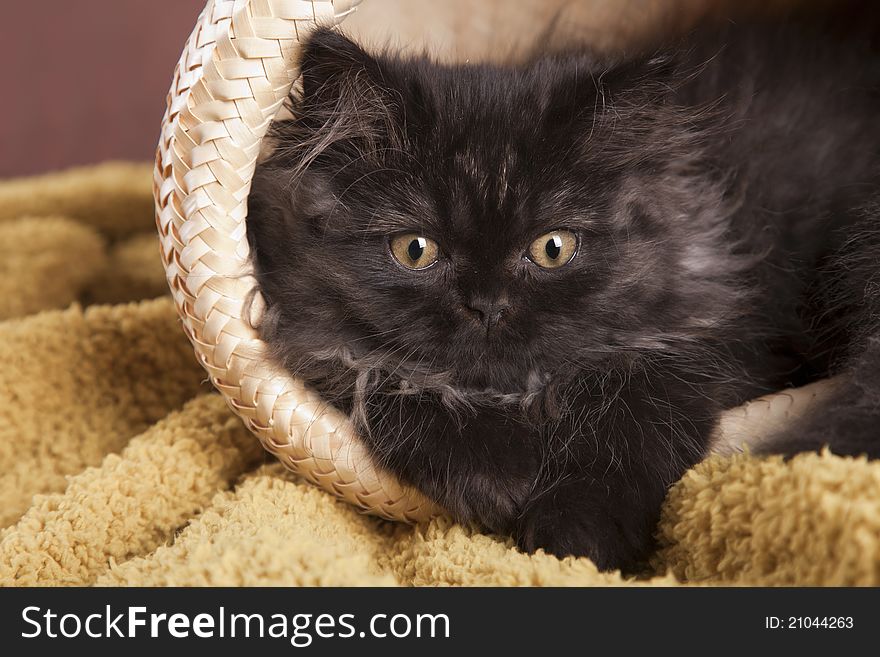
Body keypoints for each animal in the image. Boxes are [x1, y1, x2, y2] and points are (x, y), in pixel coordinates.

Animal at [244, 21, 880, 568]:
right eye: (415, 249)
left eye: (553, 248)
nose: (488, 306)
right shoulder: (311, 334)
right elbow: (384, 374)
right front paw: (499, 477)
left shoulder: (702, 341)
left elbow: (631, 419)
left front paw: (576, 535)